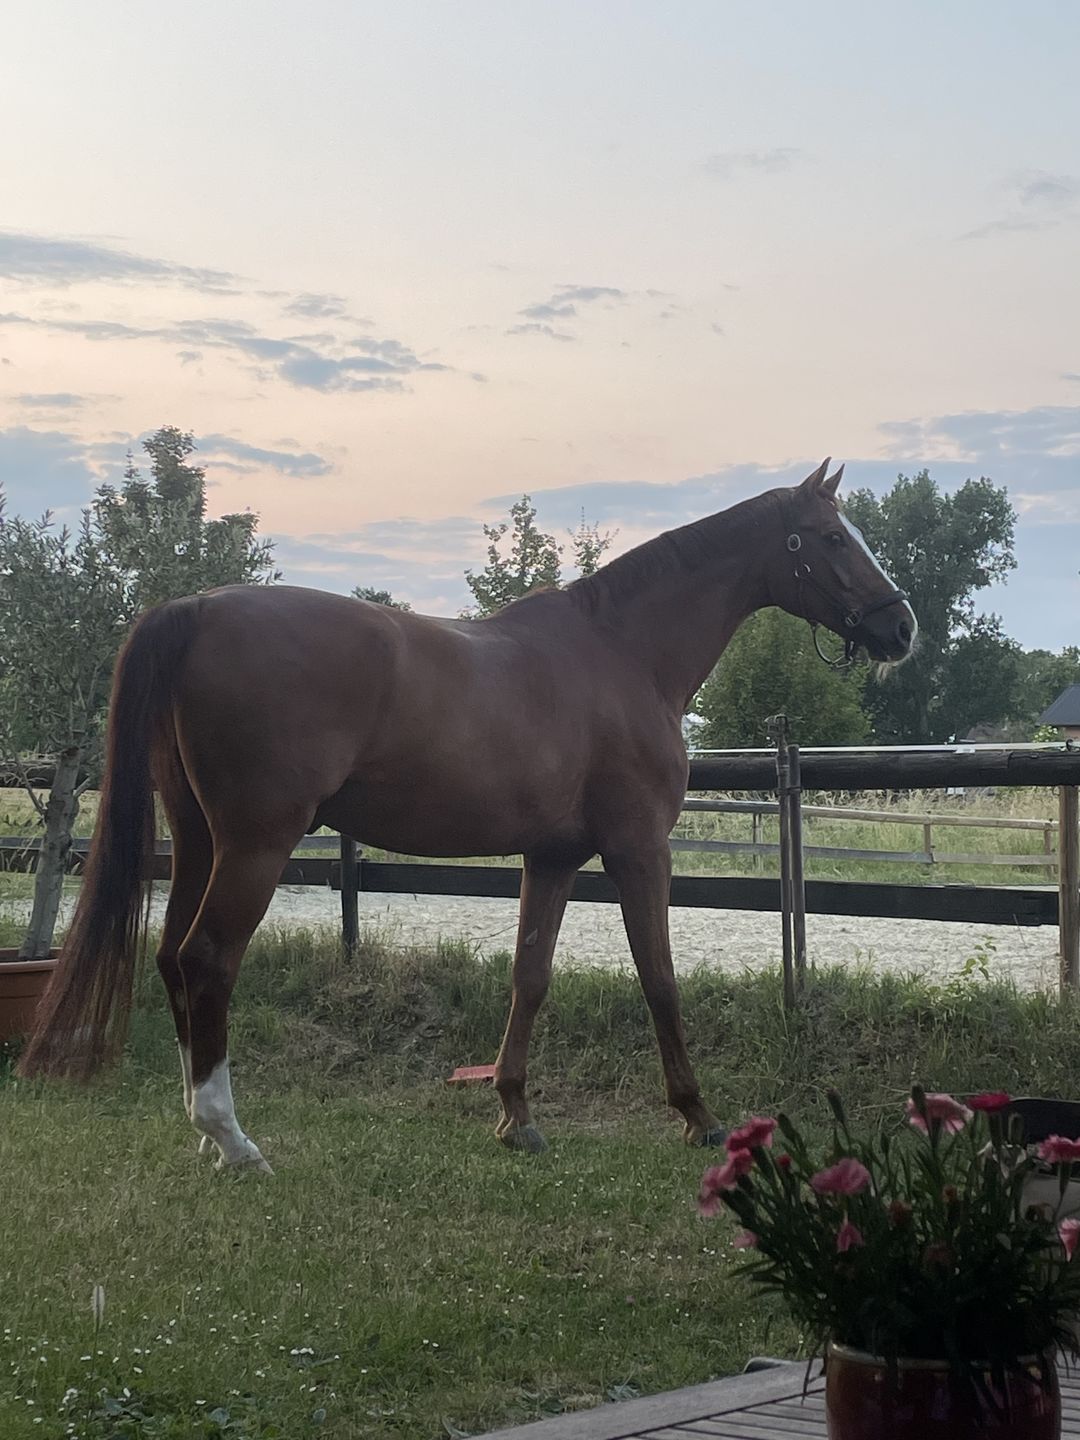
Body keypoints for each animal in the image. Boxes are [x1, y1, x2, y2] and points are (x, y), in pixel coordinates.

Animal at [19, 460, 916, 1169]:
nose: (901, 626)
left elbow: (530, 976)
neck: (622, 654)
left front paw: (515, 1113)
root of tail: (198, 607)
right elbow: (659, 978)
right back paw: (232, 1138)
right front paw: (697, 1115)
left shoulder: (552, 857)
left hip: (200, 839)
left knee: (172, 957)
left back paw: (204, 1132)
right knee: (208, 959)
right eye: (831, 538)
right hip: (256, 844)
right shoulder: (638, 851)